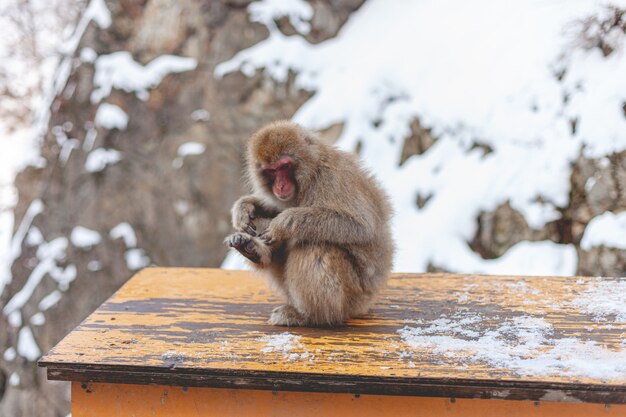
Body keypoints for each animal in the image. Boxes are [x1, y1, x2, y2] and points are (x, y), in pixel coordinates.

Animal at [223, 118, 390, 326]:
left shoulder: (332, 179)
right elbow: (274, 209)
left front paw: (282, 224)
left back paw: (309, 315)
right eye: (271, 171)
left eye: (284, 166)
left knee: (315, 245)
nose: (280, 186)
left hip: (353, 297)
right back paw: (252, 250)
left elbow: (359, 226)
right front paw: (246, 206)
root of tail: (367, 302)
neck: (312, 173)